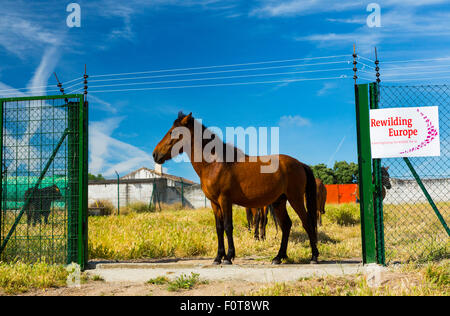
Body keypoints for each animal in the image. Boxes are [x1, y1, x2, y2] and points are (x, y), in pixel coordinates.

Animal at [153, 112, 318, 266]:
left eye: (173, 132)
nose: (155, 154)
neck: (214, 163)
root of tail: (300, 164)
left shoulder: (225, 200)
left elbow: (228, 226)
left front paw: (228, 257)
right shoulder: (214, 203)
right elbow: (219, 228)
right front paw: (218, 258)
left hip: (295, 199)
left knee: (307, 222)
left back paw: (314, 257)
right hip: (279, 202)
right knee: (286, 225)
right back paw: (278, 257)